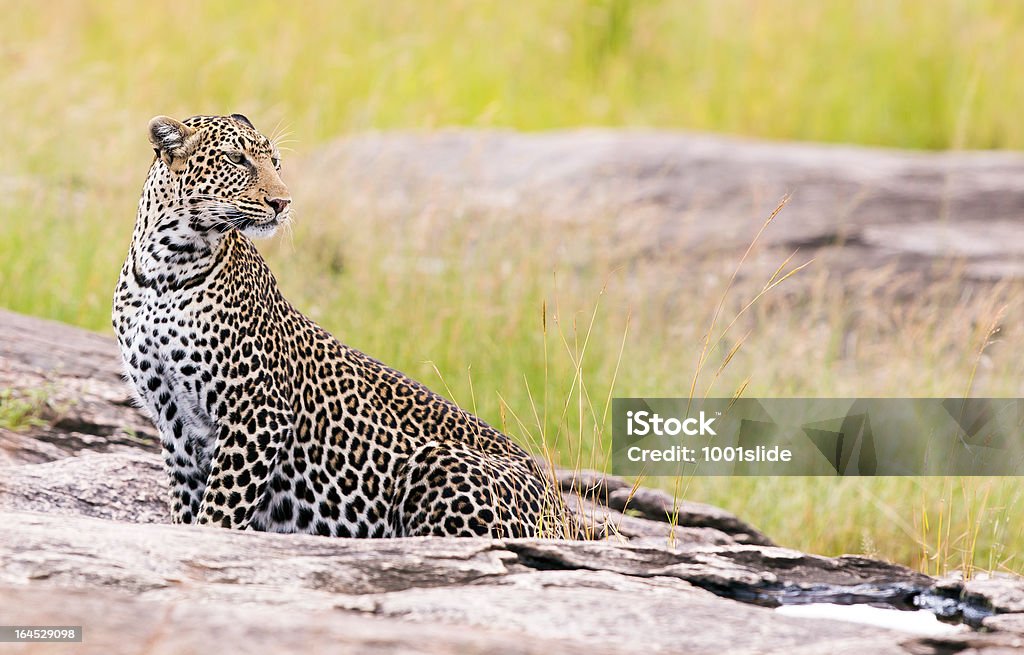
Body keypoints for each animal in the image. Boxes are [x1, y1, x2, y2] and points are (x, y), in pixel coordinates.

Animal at [112, 113, 575, 539]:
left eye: (275, 163)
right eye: (236, 159)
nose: (283, 202)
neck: (166, 266)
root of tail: (568, 514)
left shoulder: (258, 413)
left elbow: (218, 513)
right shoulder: (176, 427)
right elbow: (188, 511)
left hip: (438, 464)